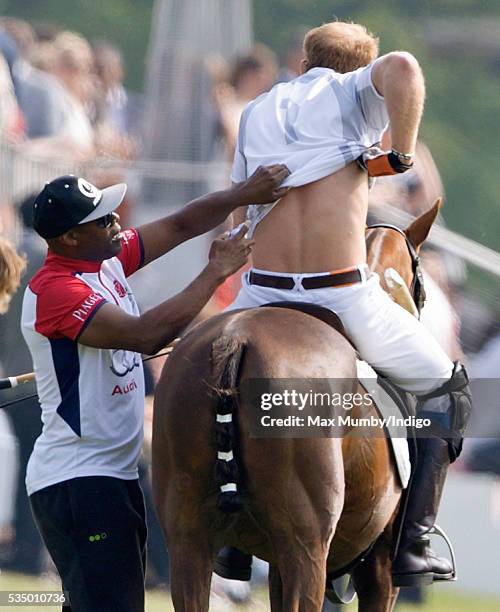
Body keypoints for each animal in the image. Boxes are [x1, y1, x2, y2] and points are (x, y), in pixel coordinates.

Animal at [152, 198, 442, 608]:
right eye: (423, 287)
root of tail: (235, 338)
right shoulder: (380, 569)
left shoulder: (274, 564)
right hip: (305, 548)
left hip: (188, 540)